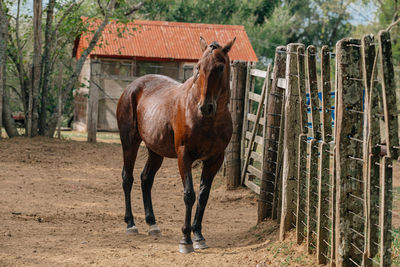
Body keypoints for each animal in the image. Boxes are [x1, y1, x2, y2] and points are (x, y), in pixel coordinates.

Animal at [115, 37, 234, 253]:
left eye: (221, 67)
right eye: (198, 66)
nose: (206, 107)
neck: (207, 121)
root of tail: (132, 87)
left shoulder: (214, 159)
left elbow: (203, 196)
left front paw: (198, 236)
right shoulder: (184, 155)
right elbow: (189, 195)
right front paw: (185, 240)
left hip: (155, 151)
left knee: (146, 179)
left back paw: (152, 224)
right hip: (129, 143)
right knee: (127, 178)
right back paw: (131, 224)